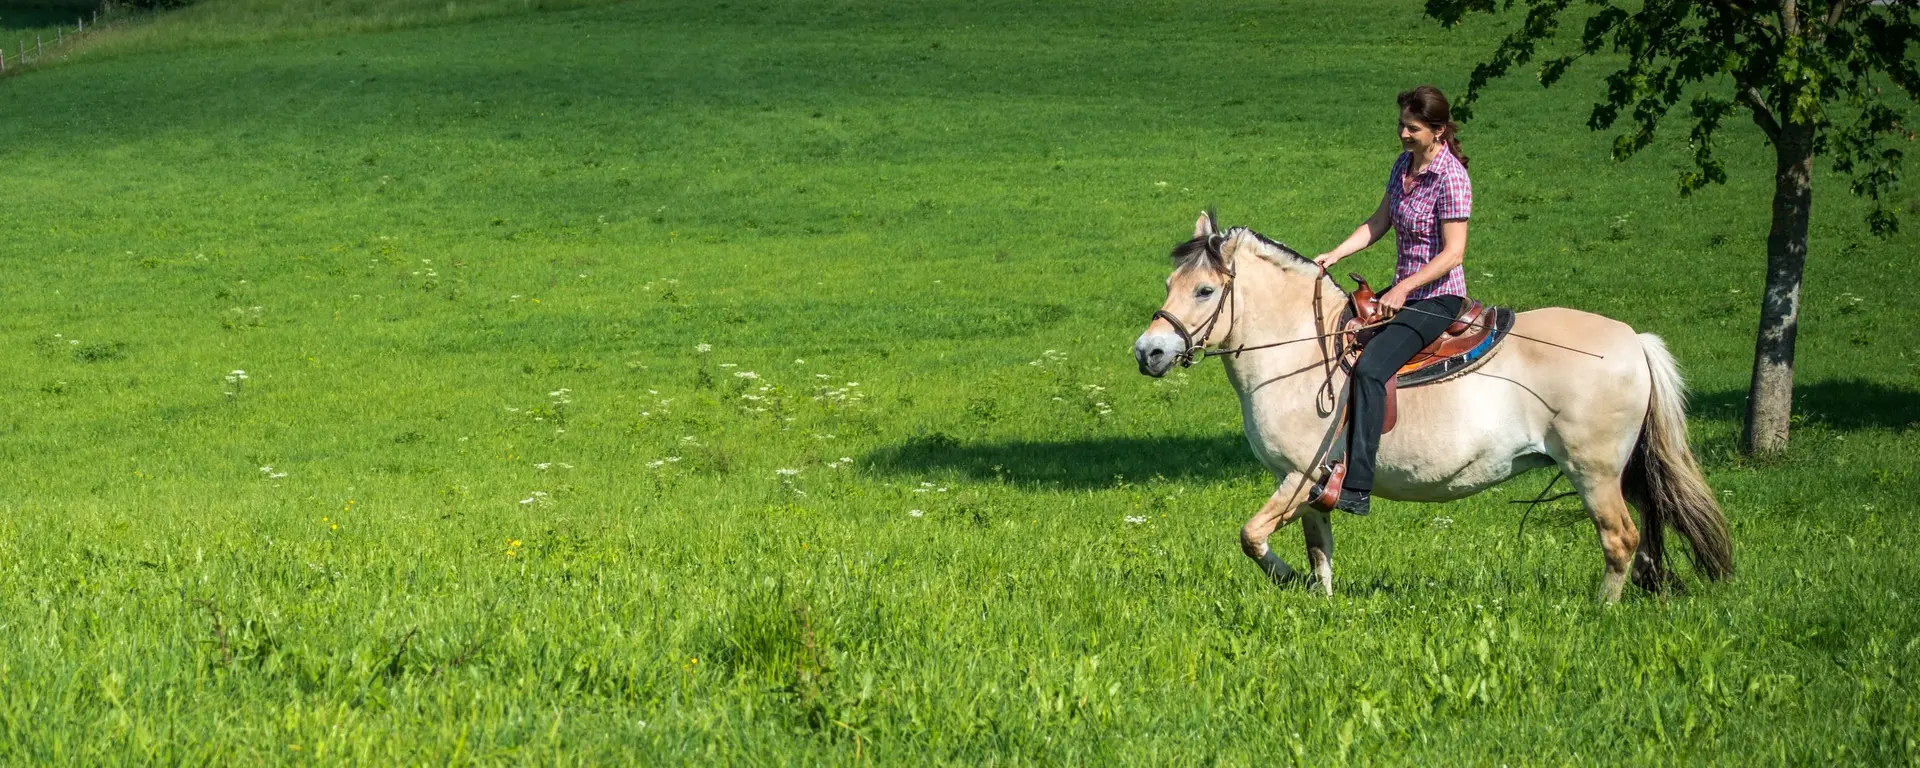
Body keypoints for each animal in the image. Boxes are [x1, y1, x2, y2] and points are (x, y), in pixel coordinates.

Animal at [1128, 213, 1735, 602]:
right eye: (1169, 281)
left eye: (1205, 291)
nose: (1148, 352)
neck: (1302, 350)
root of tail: (1633, 339)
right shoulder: (1309, 483)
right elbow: (1319, 549)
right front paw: (1319, 600)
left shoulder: (1299, 475)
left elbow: (1252, 536)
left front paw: (1289, 582)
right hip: (1624, 472)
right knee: (1648, 534)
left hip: (1594, 471)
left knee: (1620, 538)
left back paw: (1600, 612)